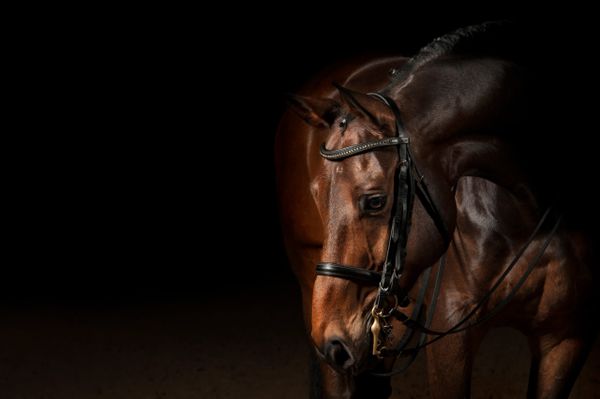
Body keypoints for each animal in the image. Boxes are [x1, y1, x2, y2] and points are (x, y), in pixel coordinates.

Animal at [274, 22, 596, 399]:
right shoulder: (450, 336)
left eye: (375, 200)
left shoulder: (566, 339)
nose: (332, 339)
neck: (527, 210)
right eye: (318, 195)